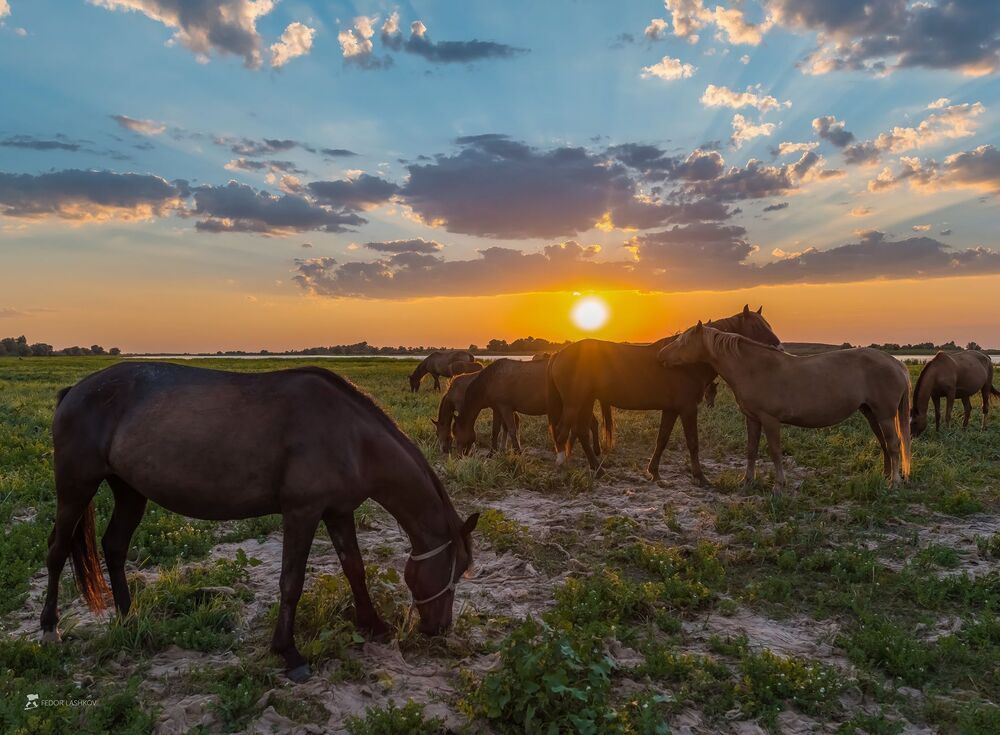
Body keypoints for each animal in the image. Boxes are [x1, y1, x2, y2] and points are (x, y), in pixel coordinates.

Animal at [44, 362, 479, 682]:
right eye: (454, 570)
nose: (439, 629)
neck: (351, 436)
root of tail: (74, 391)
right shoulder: (301, 513)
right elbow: (291, 582)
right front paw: (288, 653)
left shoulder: (338, 512)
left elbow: (354, 569)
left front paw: (373, 624)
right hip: (76, 487)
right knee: (57, 550)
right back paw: (50, 628)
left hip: (130, 491)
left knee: (115, 546)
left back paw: (128, 616)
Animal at [453, 358, 606, 455]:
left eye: (456, 434)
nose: (460, 455)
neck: (490, 380)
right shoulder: (496, 408)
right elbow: (495, 430)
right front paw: (491, 453)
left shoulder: (505, 407)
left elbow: (512, 429)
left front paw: (517, 452)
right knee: (593, 423)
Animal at [547, 305, 781, 481]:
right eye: (756, 326)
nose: (778, 347)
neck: (686, 363)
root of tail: (559, 354)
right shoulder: (688, 408)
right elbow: (693, 442)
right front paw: (700, 476)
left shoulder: (671, 409)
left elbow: (662, 439)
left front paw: (654, 472)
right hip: (575, 402)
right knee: (563, 432)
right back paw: (564, 467)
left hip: (586, 401)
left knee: (581, 432)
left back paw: (599, 470)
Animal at [658, 323, 911, 490]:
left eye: (683, 341)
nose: (662, 356)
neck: (754, 368)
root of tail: (896, 363)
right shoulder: (753, 418)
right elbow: (751, 450)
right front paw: (747, 481)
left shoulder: (770, 420)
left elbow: (775, 451)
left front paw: (779, 485)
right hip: (871, 413)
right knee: (884, 444)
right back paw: (885, 477)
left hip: (885, 415)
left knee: (893, 444)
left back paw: (894, 482)